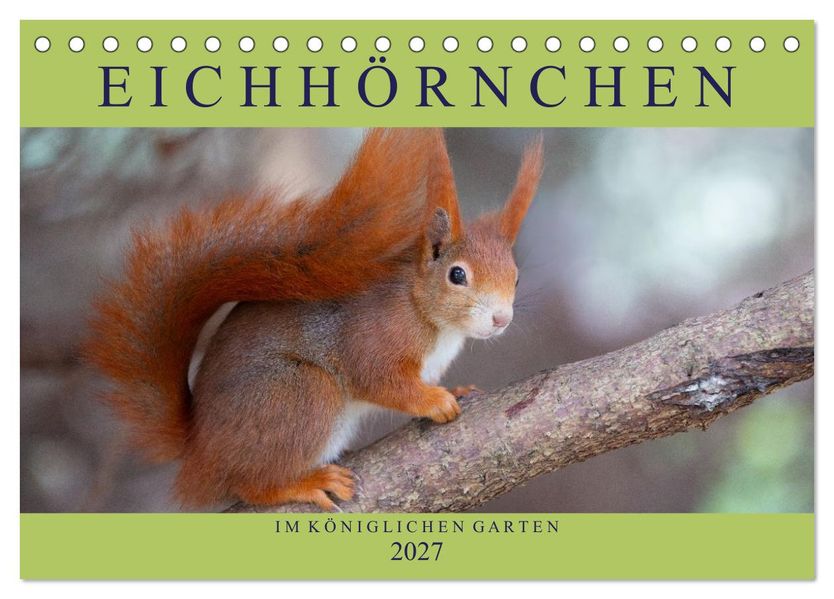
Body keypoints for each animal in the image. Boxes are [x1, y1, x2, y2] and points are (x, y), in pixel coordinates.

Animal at [84, 128, 543, 510]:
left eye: (516, 277)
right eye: (457, 275)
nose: (501, 318)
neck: (427, 315)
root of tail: (199, 450)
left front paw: (458, 389)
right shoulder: (373, 338)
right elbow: (381, 380)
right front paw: (435, 401)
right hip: (300, 393)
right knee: (250, 484)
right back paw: (303, 483)